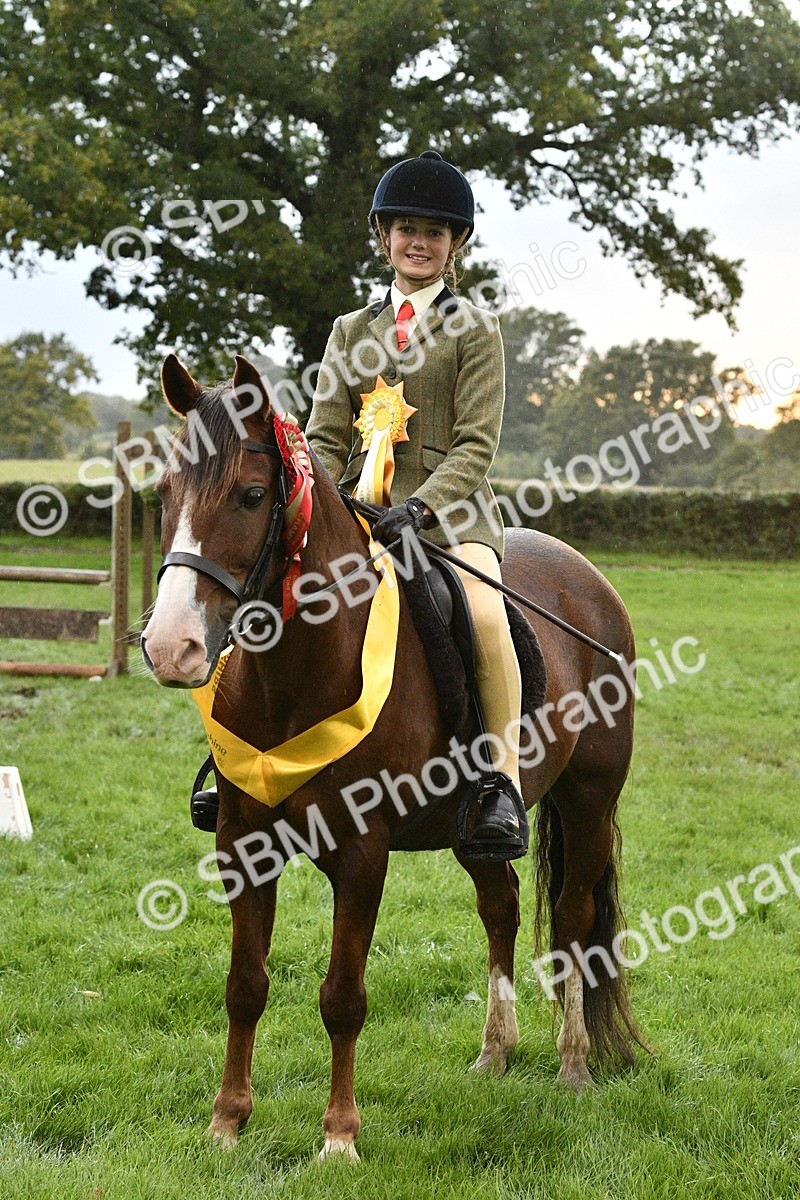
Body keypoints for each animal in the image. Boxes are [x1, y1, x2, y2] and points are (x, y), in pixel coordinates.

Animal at [141, 353, 645, 1160]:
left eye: (251, 495)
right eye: (163, 493)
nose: (170, 646)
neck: (296, 670)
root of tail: (590, 583)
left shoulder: (361, 854)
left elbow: (343, 998)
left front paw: (339, 1137)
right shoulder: (242, 845)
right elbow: (245, 986)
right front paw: (226, 1122)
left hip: (589, 801)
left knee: (572, 918)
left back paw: (572, 1065)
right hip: (474, 830)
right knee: (501, 906)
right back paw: (495, 1052)